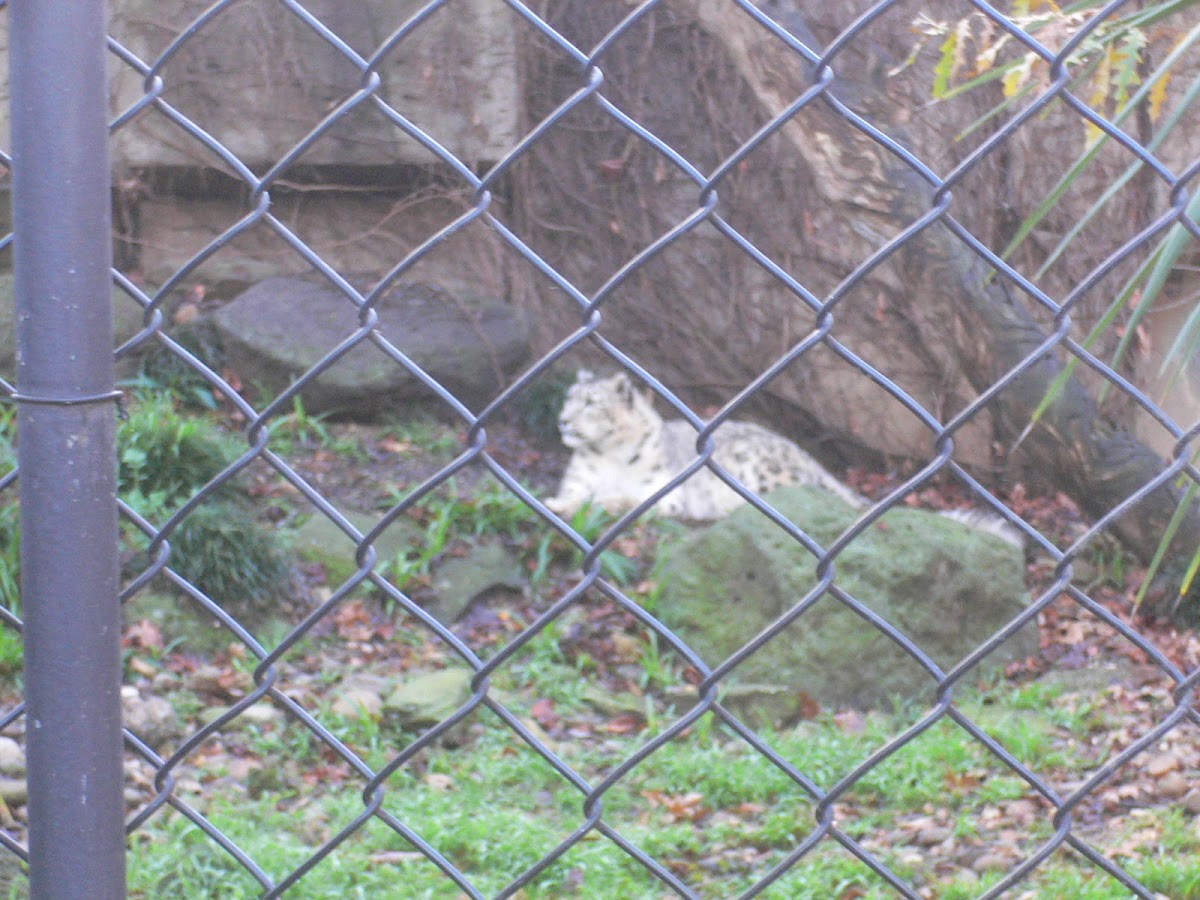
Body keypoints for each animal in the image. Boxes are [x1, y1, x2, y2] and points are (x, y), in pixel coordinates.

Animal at [544, 367, 1022, 547]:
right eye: (569, 399)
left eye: (590, 403)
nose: (562, 419)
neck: (607, 456)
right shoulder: (579, 478)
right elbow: (574, 495)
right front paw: (557, 504)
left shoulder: (665, 490)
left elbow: (634, 499)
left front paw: (606, 501)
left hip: (764, 468)